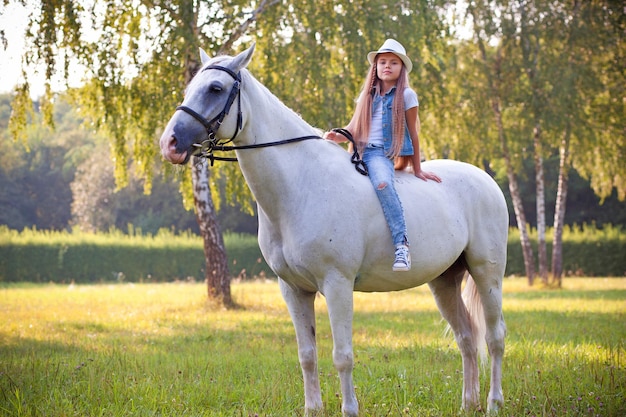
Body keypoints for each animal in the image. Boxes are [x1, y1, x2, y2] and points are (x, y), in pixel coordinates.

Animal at [158, 44, 504, 414]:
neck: (301, 185)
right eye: (190, 87)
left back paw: (494, 402)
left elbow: (342, 356)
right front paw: (313, 408)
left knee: (494, 337)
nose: (170, 143)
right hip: (444, 281)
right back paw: (469, 403)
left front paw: (349, 408)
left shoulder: (337, 285)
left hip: (487, 274)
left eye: (215, 88)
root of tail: (486, 180)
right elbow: (307, 355)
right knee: (466, 338)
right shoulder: (293, 290)